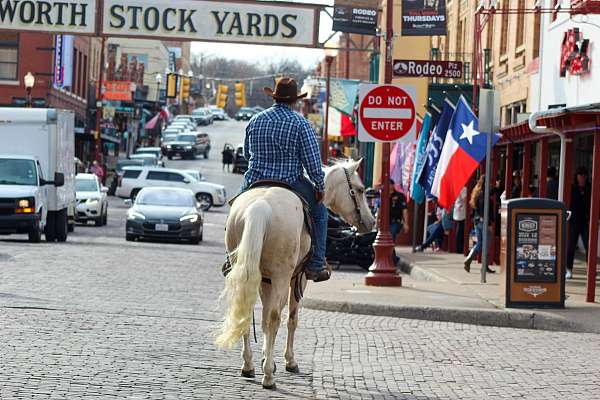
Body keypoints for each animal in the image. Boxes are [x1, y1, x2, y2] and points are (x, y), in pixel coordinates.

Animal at [214, 159, 376, 388]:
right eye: (360, 189)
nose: (371, 222)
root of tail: (260, 207)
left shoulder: (266, 280)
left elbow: (263, 319)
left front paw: (266, 357)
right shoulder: (298, 278)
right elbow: (290, 318)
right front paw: (285, 361)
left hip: (246, 270)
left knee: (246, 310)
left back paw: (248, 366)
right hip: (282, 276)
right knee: (275, 317)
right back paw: (268, 377)